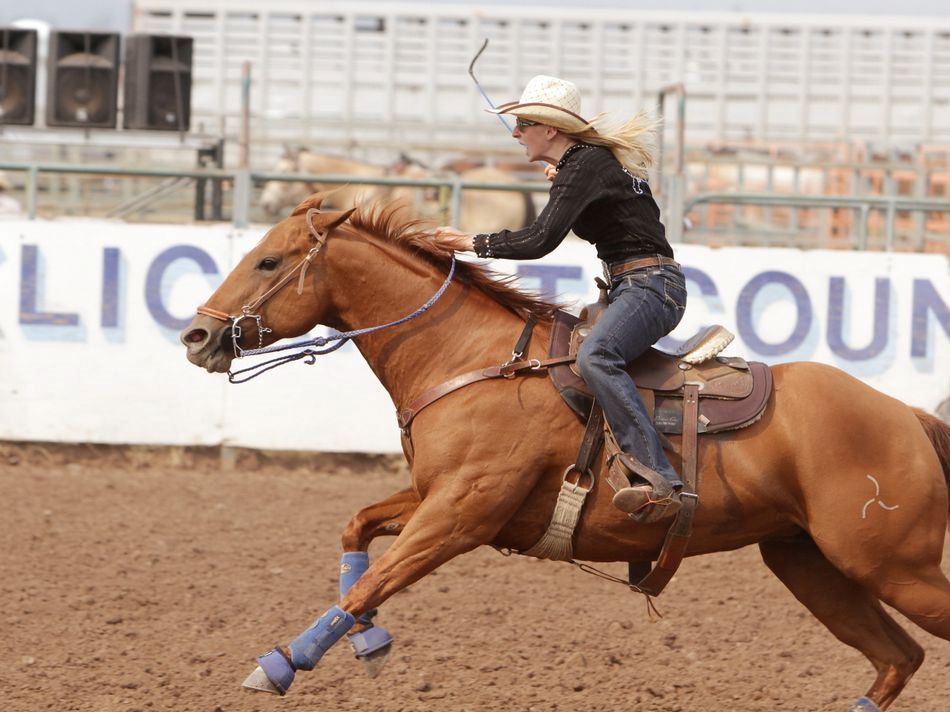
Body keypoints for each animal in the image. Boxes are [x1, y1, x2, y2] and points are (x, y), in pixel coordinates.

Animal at [179, 195, 950, 710]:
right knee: (898, 658)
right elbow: (357, 532)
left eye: (268, 260)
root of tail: (907, 417)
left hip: (891, 564)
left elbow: (374, 580)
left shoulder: (461, 513)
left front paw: (281, 663)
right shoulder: (433, 496)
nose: (197, 336)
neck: (473, 360)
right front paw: (367, 642)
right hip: (811, 563)